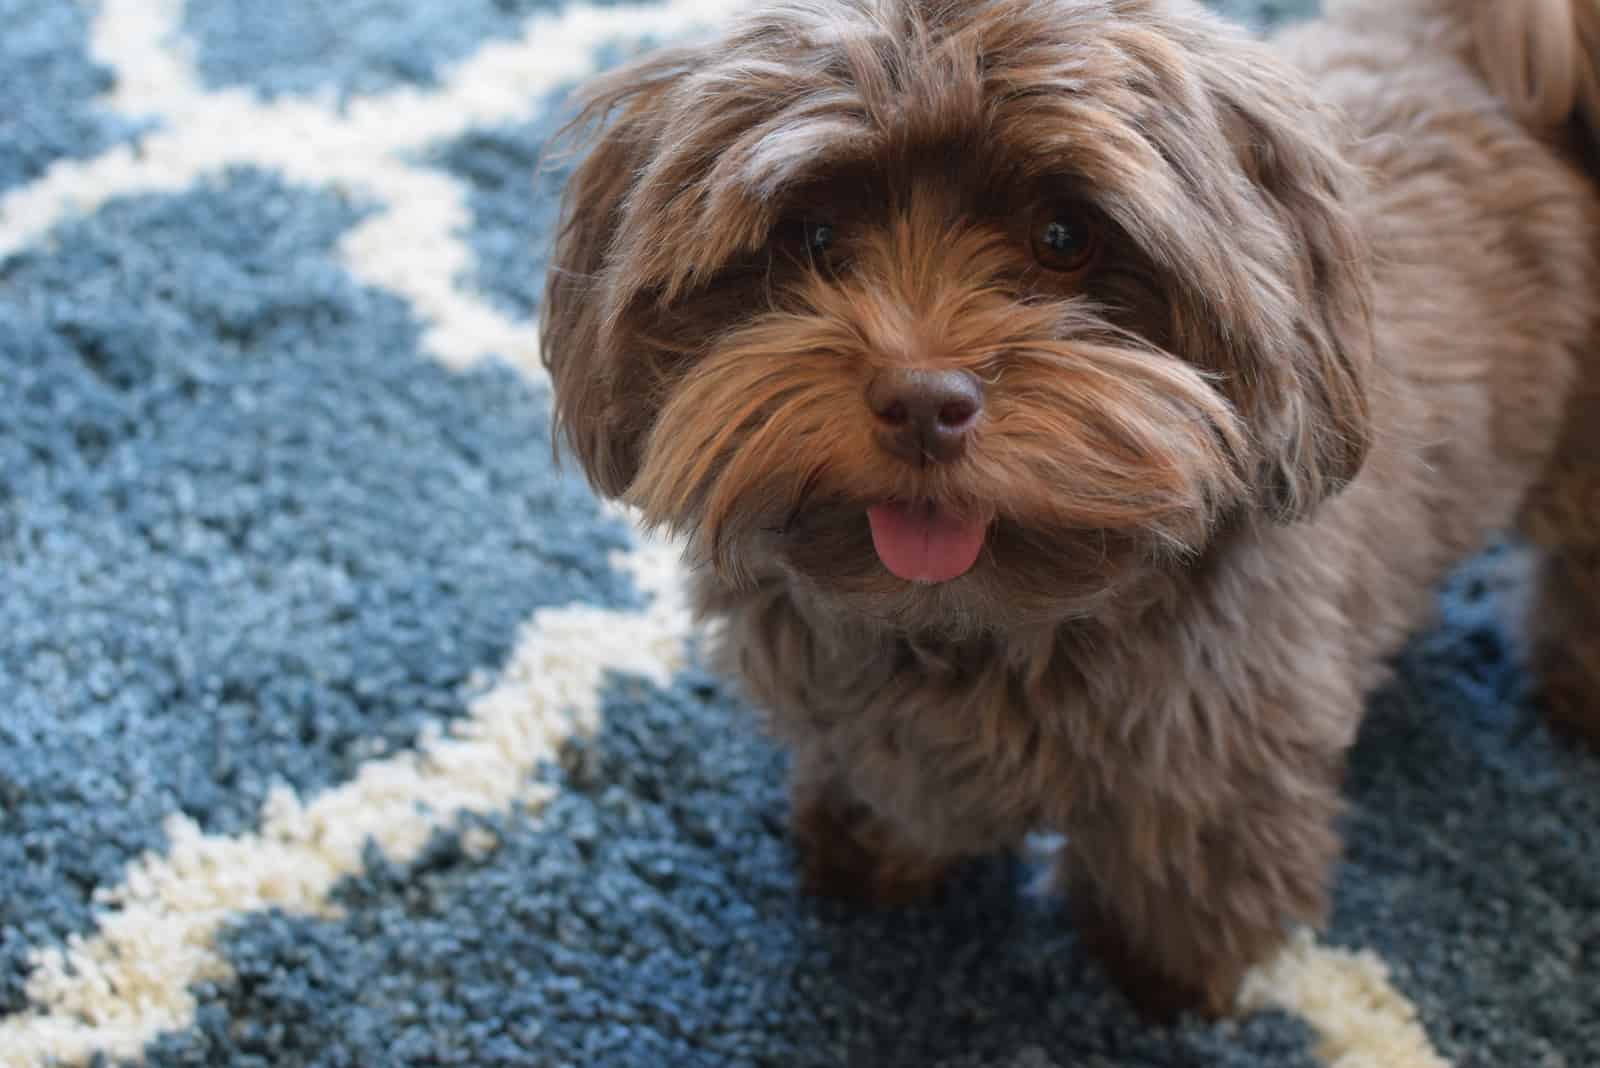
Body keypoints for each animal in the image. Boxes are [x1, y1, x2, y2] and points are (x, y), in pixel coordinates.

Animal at [537, 0, 1600, 1016]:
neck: (979, 621)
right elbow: (886, 780)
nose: (924, 400)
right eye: (814, 237)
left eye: (1064, 238)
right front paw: (866, 850)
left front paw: (1167, 973)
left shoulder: (1220, 743)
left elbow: (1194, 863)